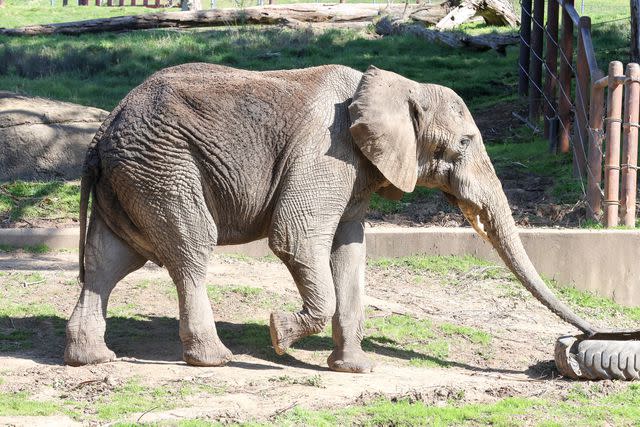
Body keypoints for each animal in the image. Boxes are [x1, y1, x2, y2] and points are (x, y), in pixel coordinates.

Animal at [63, 61, 596, 372]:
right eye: (464, 143)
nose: (581, 339)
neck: (394, 85)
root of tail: (100, 134)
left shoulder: (357, 166)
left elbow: (349, 250)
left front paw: (355, 369)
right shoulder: (327, 150)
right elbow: (295, 237)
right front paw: (278, 333)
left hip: (134, 176)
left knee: (109, 262)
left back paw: (91, 359)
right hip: (164, 167)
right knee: (190, 251)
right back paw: (214, 360)